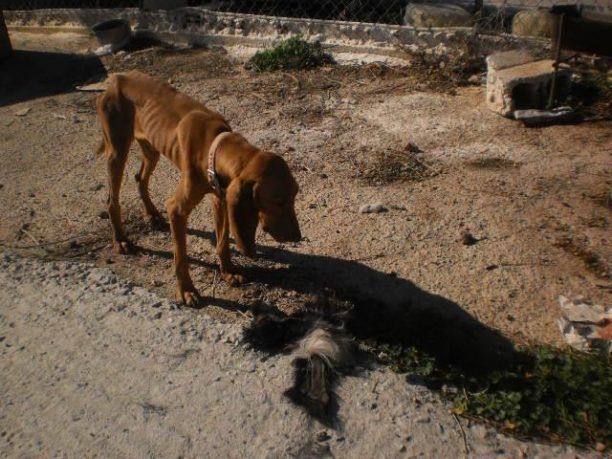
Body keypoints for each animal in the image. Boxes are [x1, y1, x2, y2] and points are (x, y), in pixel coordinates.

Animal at [95, 72, 302, 308]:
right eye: (279, 201)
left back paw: (152, 215)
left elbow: (223, 242)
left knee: (140, 178)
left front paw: (228, 272)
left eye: (295, 195)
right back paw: (121, 239)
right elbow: (181, 257)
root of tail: (117, 78)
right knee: (112, 199)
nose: (298, 237)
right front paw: (186, 290)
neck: (213, 146)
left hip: (151, 147)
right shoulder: (177, 210)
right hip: (117, 151)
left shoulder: (221, 199)